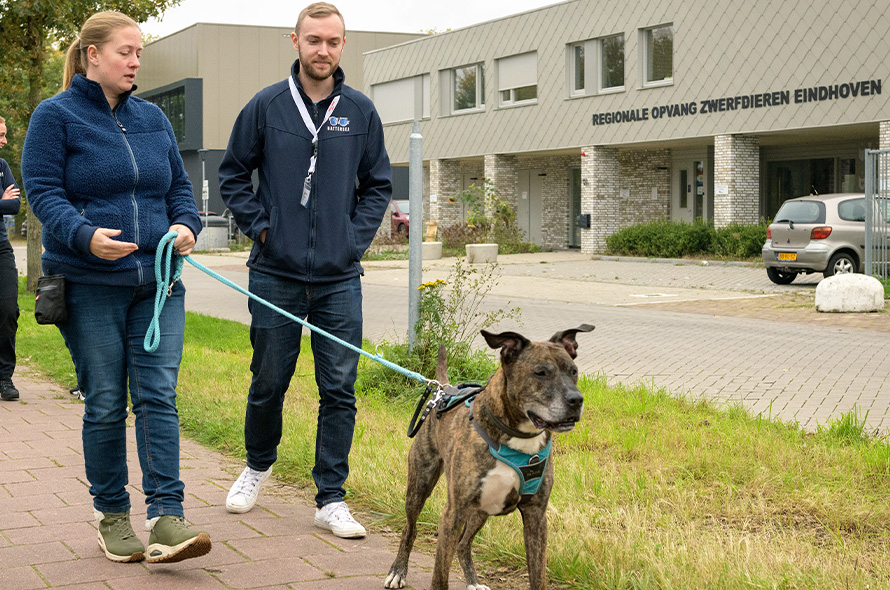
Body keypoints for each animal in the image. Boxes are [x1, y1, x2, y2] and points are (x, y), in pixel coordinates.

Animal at [386, 326, 592, 588]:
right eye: (541, 373)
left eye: (573, 371)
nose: (576, 400)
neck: (519, 437)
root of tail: (443, 389)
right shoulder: (453, 513)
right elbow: (440, 576)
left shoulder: (536, 516)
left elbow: (538, 576)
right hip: (420, 485)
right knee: (410, 529)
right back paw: (398, 571)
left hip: (480, 510)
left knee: (463, 544)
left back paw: (473, 581)